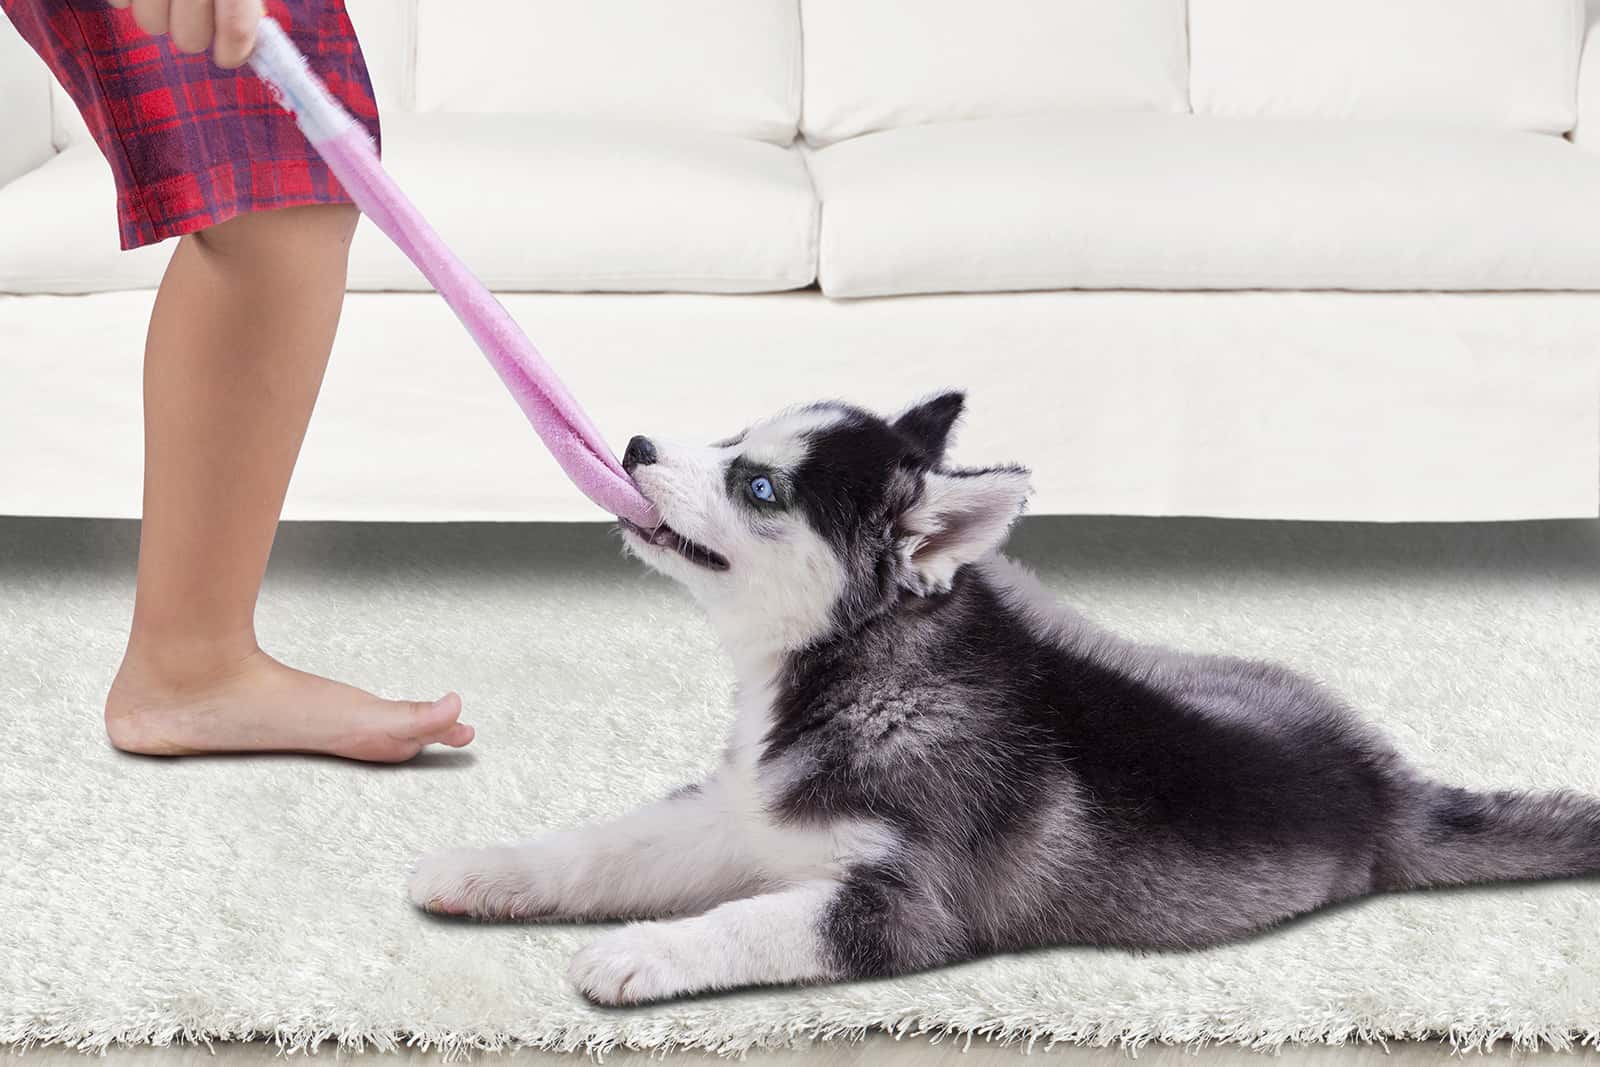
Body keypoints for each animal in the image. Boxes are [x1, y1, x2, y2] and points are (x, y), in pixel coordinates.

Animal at [409, 396, 1600, 1004]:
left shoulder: (908, 903)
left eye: (760, 487)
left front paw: (645, 950)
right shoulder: (738, 810)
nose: (636, 444)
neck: (856, 667)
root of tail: (1384, 783)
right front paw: (490, 868)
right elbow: (607, 846)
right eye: (732, 428)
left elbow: (749, 918)